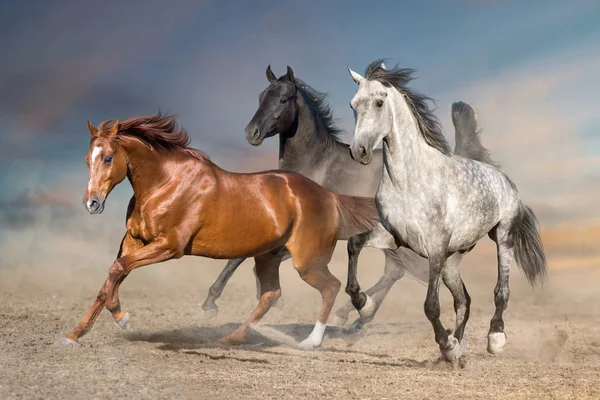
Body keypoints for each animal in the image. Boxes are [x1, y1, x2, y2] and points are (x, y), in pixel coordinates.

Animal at [62, 111, 380, 346]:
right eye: (87, 159)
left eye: (107, 158)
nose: (91, 203)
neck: (165, 184)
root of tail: (330, 196)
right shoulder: (133, 242)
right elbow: (111, 278)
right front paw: (74, 335)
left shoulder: (169, 246)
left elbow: (117, 270)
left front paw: (122, 317)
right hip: (267, 256)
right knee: (271, 294)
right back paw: (232, 338)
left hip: (307, 262)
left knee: (331, 287)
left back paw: (314, 341)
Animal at [200, 65, 496, 332]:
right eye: (261, 96)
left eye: (283, 99)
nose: (251, 133)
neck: (315, 165)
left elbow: (243, 257)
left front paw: (210, 303)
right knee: (395, 272)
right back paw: (354, 317)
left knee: (396, 272)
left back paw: (353, 314)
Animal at [344, 61, 548, 360]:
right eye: (353, 105)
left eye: (379, 102)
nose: (358, 151)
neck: (409, 181)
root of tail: (502, 178)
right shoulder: (393, 236)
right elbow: (353, 244)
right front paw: (364, 303)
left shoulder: (435, 247)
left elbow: (430, 305)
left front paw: (446, 343)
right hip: (453, 262)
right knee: (464, 300)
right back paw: (455, 350)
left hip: (502, 238)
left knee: (501, 291)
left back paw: (493, 339)